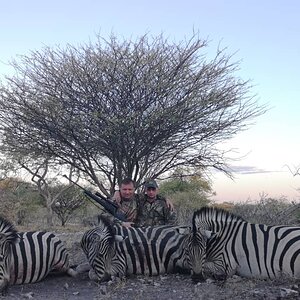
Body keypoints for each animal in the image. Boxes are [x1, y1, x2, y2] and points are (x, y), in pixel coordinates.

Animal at [79, 216, 211, 282]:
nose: (108, 278)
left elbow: (91, 273)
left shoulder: (120, 264)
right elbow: (84, 267)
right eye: (99, 255)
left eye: (113, 255)